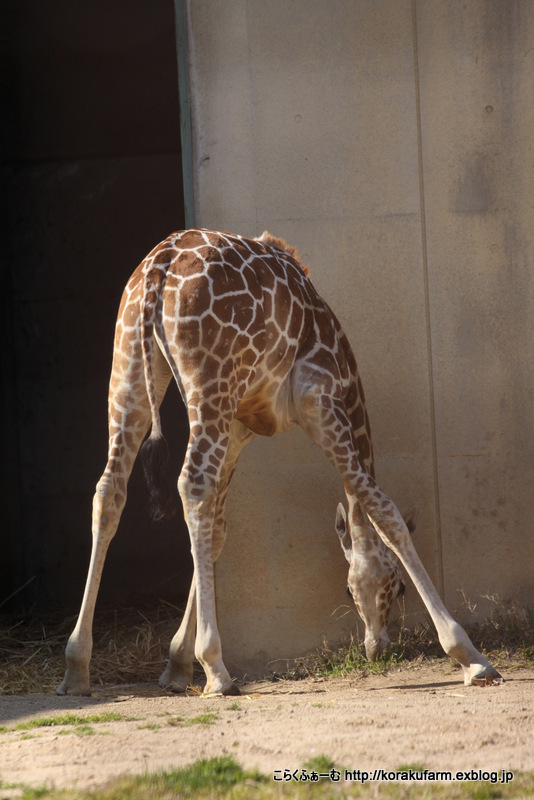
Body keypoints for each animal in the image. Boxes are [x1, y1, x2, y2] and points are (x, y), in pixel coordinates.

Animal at [56, 228, 504, 696]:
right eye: (395, 587)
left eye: (349, 589)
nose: (376, 648)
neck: (346, 374)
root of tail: (158, 269)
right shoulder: (318, 401)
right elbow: (384, 511)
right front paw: (470, 657)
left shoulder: (240, 427)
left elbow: (217, 532)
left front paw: (176, 665)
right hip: (208, 383)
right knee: (190, 484)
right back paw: (218, 670)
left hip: (131, 372)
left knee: (110, 490)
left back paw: (76, 667)